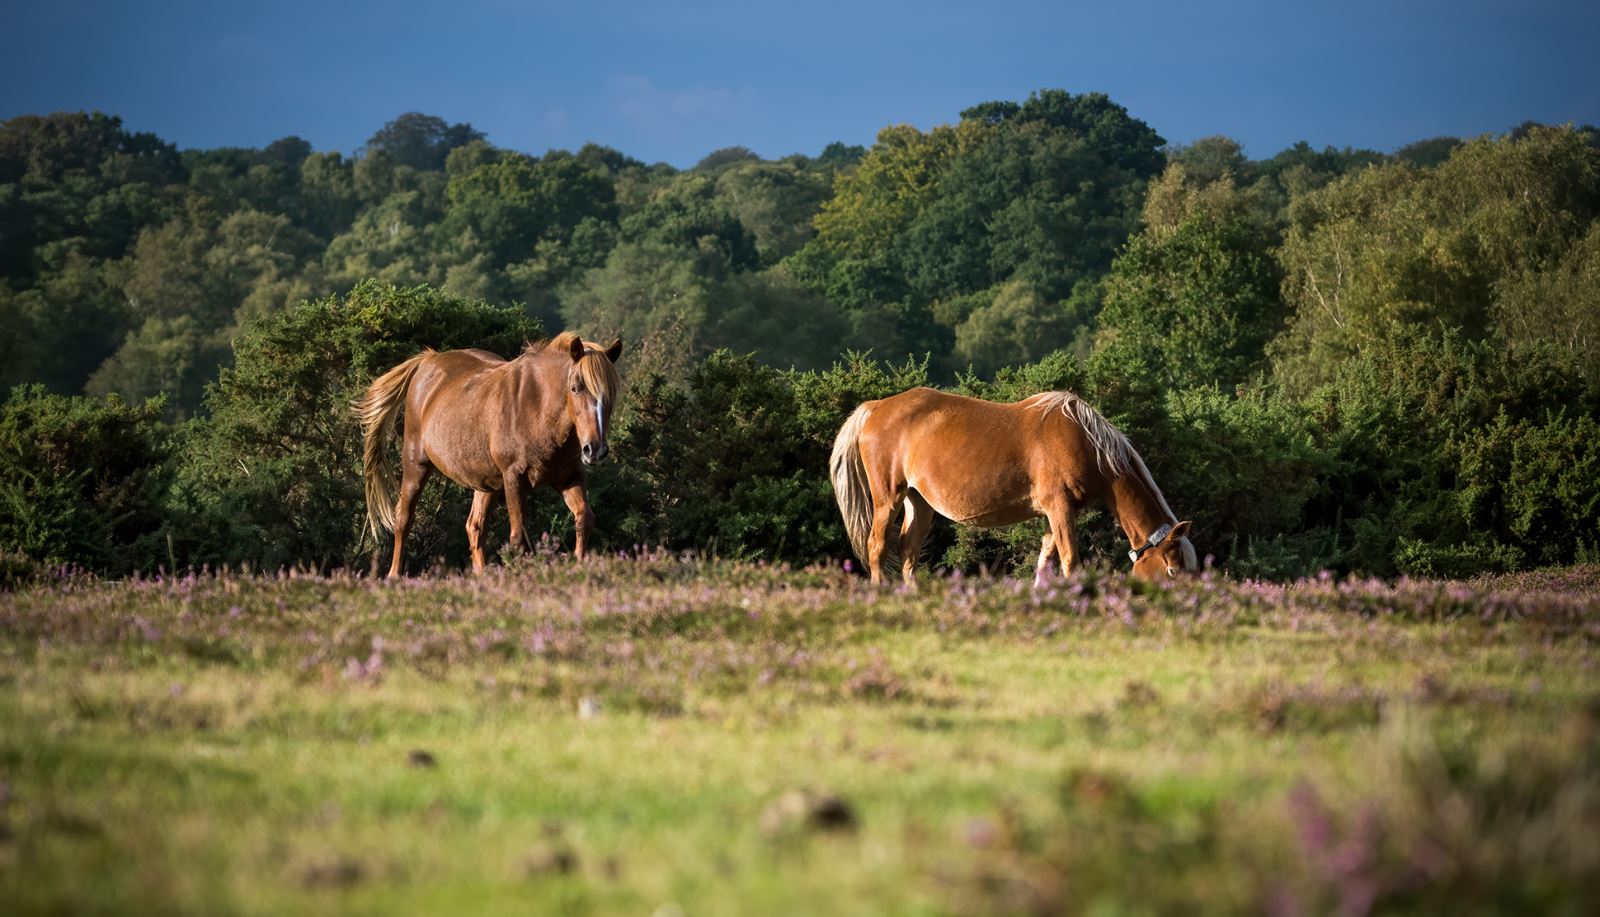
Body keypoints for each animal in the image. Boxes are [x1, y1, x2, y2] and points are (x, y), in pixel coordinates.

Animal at [356, 329, 624, 576]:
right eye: (576, 388)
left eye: (610, 394)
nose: (595, 449)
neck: (537, 406)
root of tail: (428, 361)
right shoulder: (514, 478)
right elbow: (518, 537)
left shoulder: (569, 478)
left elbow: (584, 519)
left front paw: (578, 567)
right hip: (416, 465)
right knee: (404, 518)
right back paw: (394, 575)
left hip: (485, 483)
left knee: (474, 527)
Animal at [832, 382, 1196, 582]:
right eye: (1173, 571)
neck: (1088, 444)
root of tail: (875, 407)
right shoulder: (1059, 508)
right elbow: (1069, 561)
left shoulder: (1053, 515)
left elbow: (1045, 561)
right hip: (888, 497)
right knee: (877, 547)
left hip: (917, 501)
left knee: (908, 551)